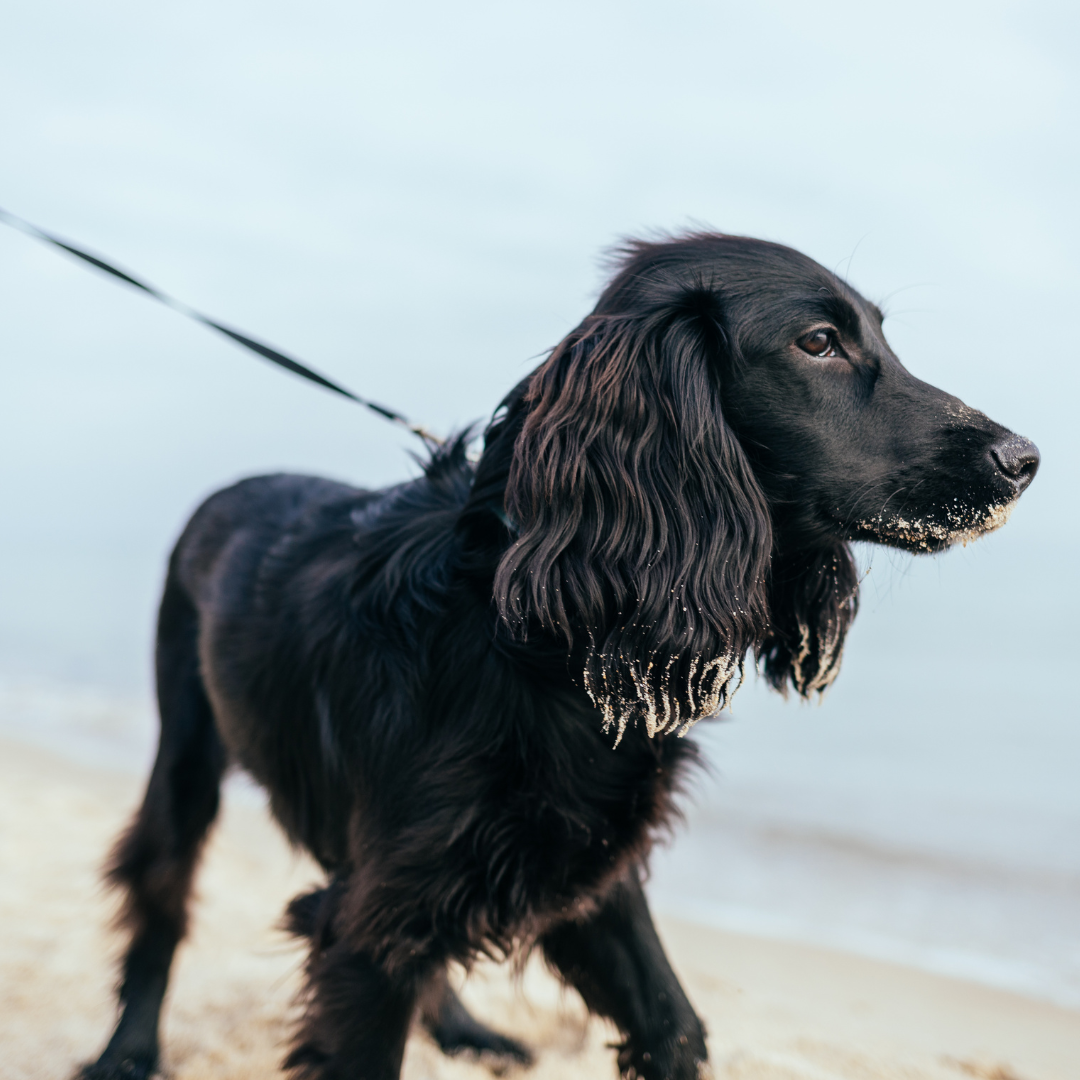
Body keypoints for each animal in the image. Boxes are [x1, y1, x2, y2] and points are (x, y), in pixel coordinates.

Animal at [82, 236, 1036, 1080]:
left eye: (880, 334)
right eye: (817, 343)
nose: (1023, 461)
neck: (546, 636)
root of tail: (233, 487)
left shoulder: (584, 864)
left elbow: (672, 1026)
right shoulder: (377, 928)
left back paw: (468, 1034)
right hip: (187, 750)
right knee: (160, 893)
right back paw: (127, 1052)